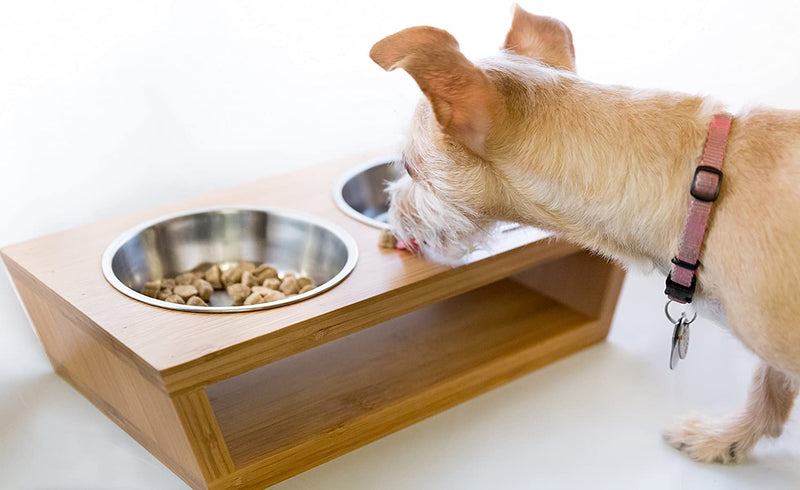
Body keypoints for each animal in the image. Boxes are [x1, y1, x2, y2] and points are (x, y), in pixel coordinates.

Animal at [372, 3, 800, 464]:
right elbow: (767, 386)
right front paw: (725, 439)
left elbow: (767, 382)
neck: (699, 198)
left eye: (409, 167)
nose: (390, 218)